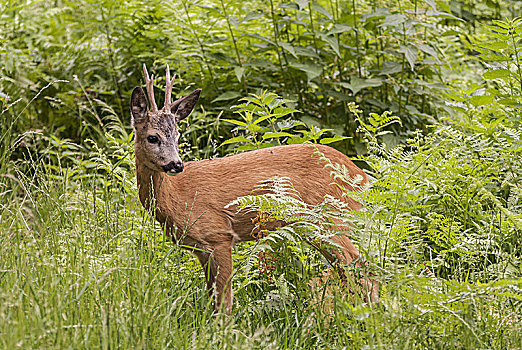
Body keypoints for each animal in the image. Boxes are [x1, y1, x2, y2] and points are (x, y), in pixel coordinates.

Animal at [129, 65, 374, 314]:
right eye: (152, 137)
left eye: (177, 136)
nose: (177, 164)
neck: (177, 197)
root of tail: (360, 175)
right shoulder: (200, 248)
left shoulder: (218, 235)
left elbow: (224, 302)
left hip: (328, 216)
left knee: (357, 264)